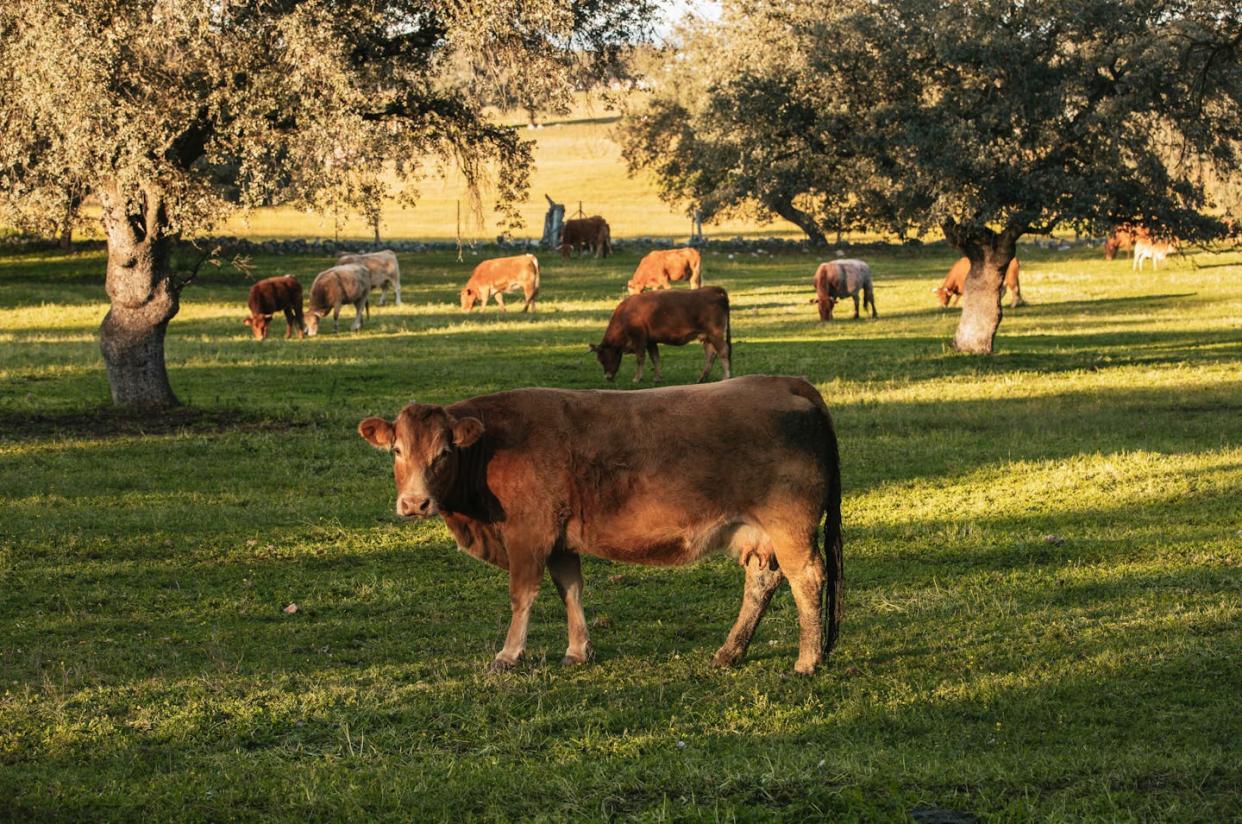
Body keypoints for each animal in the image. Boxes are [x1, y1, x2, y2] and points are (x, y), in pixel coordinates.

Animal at [357, 377, 844, 676]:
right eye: (397, 450)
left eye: (443, 453)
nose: (414, 503)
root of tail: (782, 382)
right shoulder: (560, 540)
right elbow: (570, 589)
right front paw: (577, 651)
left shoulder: (529, 534)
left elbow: (522, 595)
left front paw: (509, 655)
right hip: (760, 534)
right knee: (762, 583)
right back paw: (730, 652)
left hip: (791, 525)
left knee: (807, 578)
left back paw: (807, 659)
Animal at [588, 287, 725, 382]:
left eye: (602, 359)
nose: (607, 377)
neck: (625, 314)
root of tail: (712, 290)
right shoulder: (651, 341)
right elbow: (655, 358)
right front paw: (657, 377)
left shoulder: (639, 340)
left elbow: (640, 358)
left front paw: (637, 378)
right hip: (707, 338)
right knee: (711, 355)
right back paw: (701, 378)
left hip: (716, 334)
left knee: (723, 352)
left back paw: (725, 376)